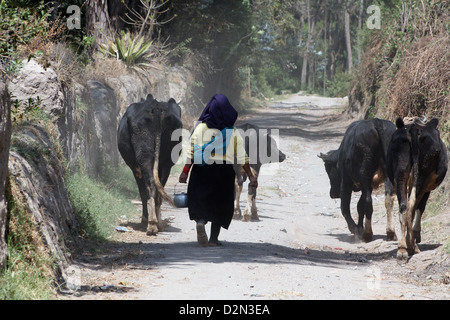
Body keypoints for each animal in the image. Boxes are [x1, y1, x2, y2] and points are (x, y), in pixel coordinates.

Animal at [119, 94, 185, 234]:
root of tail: (157, 107)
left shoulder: (135, 169)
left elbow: (142, 192)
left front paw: (144, 219)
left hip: (144, 157)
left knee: (150, 185)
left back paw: (151, 223)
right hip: (166, 163)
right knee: (159, 187)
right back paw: (157, 223)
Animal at [386, 116, 446, 262]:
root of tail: (413, 129)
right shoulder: (427, 188)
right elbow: (421, 208)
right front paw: (416, 234)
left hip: (400, 174)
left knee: (403, 207)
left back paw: (402, 249)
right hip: (421, 178)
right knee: (411, 208)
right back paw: (412, 246)